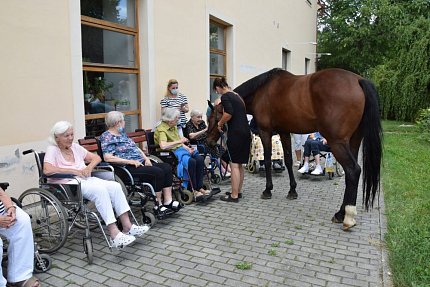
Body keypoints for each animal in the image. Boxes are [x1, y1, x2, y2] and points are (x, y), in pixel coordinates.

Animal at [208, 68, 382, 231]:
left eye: (213, 118)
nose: (208, 141)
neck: (261, 90)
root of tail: (359, 80)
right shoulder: (284, 132)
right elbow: (288, 159)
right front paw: (292, 191)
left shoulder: (265, 131)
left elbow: (267, 158)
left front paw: (268, 190)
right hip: (353, 142)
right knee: (350, 174)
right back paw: (341, 213)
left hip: (337, 143)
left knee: (353, 171)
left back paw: (347, 217)